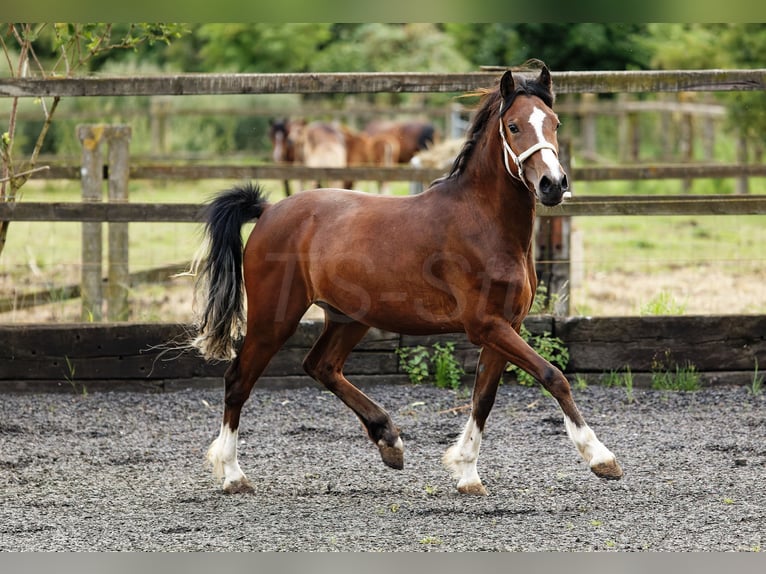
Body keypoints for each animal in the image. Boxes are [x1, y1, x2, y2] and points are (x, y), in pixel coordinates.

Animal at [192, 62, 624, 496]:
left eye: (554, 123)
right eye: (514, 126)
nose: (553, 184)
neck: (484, 222)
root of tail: (268, 211)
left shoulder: (506, 325)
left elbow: (483, 398)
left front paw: (467, 473)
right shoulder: (486, 325)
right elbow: (553, 376)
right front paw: (601, 457)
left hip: (349, 317)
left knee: (321, 366)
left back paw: (389, 440)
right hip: (275, 318)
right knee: (238, 379)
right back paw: (232, 474)